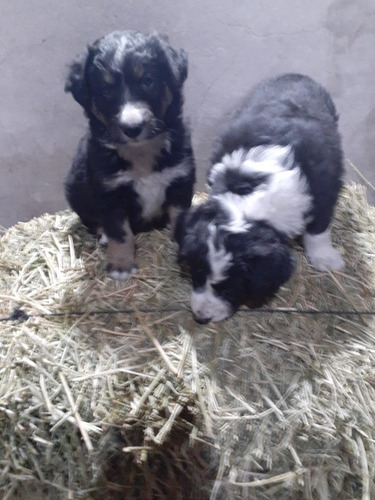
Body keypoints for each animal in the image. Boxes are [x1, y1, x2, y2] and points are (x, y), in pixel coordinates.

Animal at [64, 30, 195, 282]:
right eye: (106, 90)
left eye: (148, 81)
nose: (132, 128)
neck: (141, 151)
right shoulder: (110, 193)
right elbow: (120, 232)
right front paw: (121, 266)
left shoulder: (180, 181)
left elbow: (181, 218)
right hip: (75, 190)